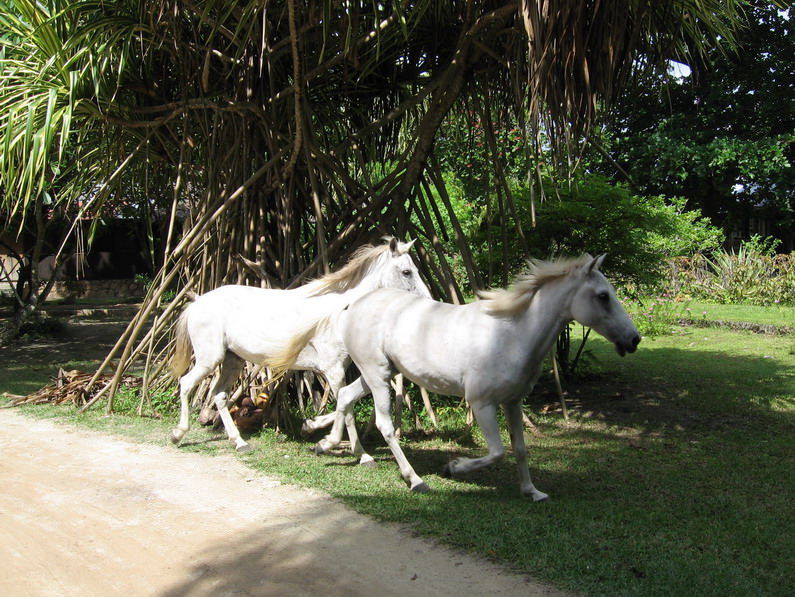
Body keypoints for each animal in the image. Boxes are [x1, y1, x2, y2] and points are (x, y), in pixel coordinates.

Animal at [168, 237, 430, 452]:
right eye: (407, 272)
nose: (429, 302)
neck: (340, 313)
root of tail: (198, 303)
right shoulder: (333, 370)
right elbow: (347, 410)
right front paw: (360, 454)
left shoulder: (344, 369)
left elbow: (345, 405)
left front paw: (310, 427)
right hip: (209, 359)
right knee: (186, 383)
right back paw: (178, 434)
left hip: (234, 359)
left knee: (220, 395)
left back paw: (240, 442)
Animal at [306, 255, 640, 498]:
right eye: (603, 296)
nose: (634, 339)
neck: (511, 335)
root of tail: (355, 304)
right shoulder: (482, 404)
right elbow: (497, 452)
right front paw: (452, 468)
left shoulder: (513, 402)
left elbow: (519, 449)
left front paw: (532, 491)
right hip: (377, 376)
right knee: (384, 424)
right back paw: (415, 480)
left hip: (382, 372)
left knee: (345, 396)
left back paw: (328, 443)